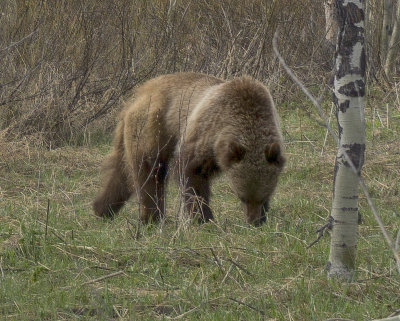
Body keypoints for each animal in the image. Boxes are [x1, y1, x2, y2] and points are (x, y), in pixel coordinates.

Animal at [94, 72, 286, 225]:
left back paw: (102, 209)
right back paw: (151, 217)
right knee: (149, 172)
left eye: (264, 197)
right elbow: (192, 173)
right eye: (242, 197)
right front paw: (202, 217)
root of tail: (136, 96)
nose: (253, 221)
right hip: (152, 128)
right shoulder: (205, 132)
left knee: (120, 172)